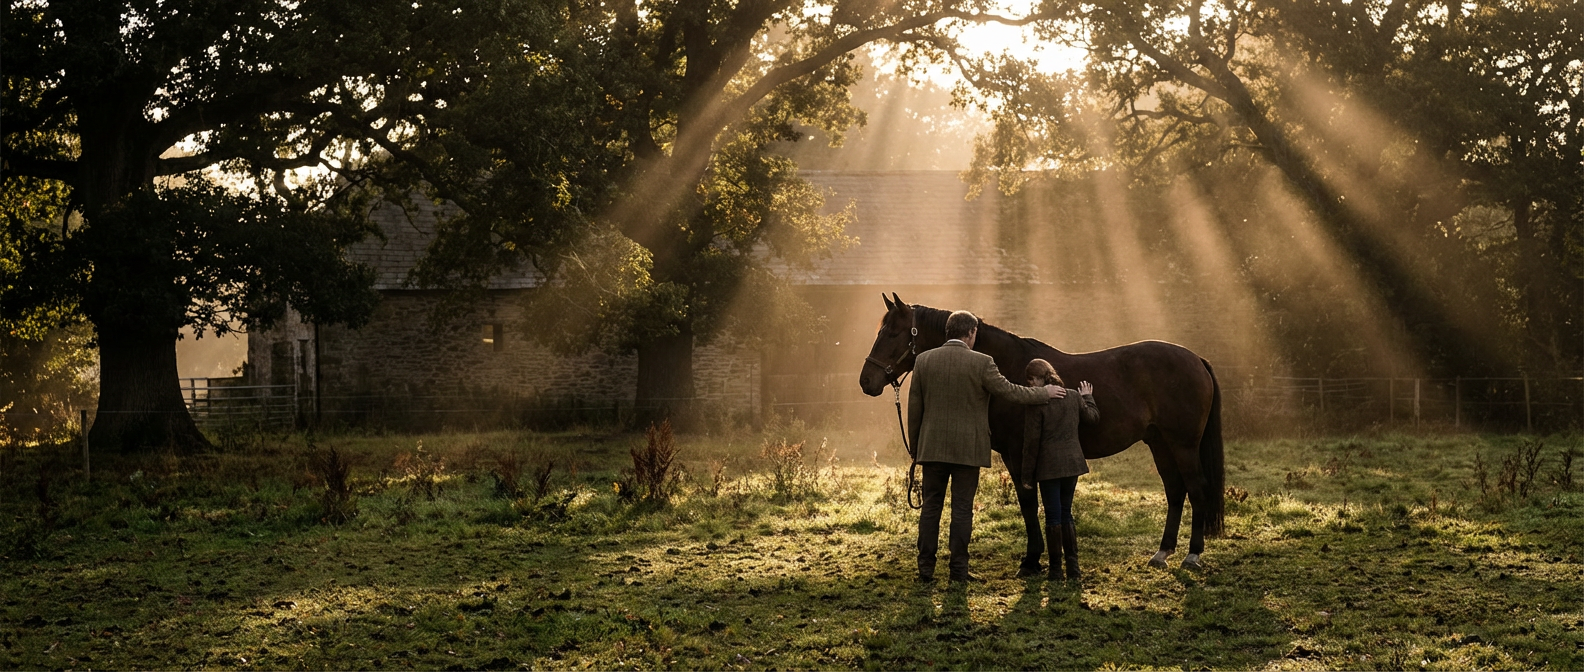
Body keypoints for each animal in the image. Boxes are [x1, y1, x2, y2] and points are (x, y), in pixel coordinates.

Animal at [858, 293, 1224, 571]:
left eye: (892, 333)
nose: (866, 381)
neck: (1009, 367)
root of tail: (1197, 359)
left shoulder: (1018, 453)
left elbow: (1028, 503)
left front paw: (1032, 558)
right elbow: (1030, 505)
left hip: (1183, 445)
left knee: (1196, 488)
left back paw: (1192, 555)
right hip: (1159, 443)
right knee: (1176, 491)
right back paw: (1162, 553)